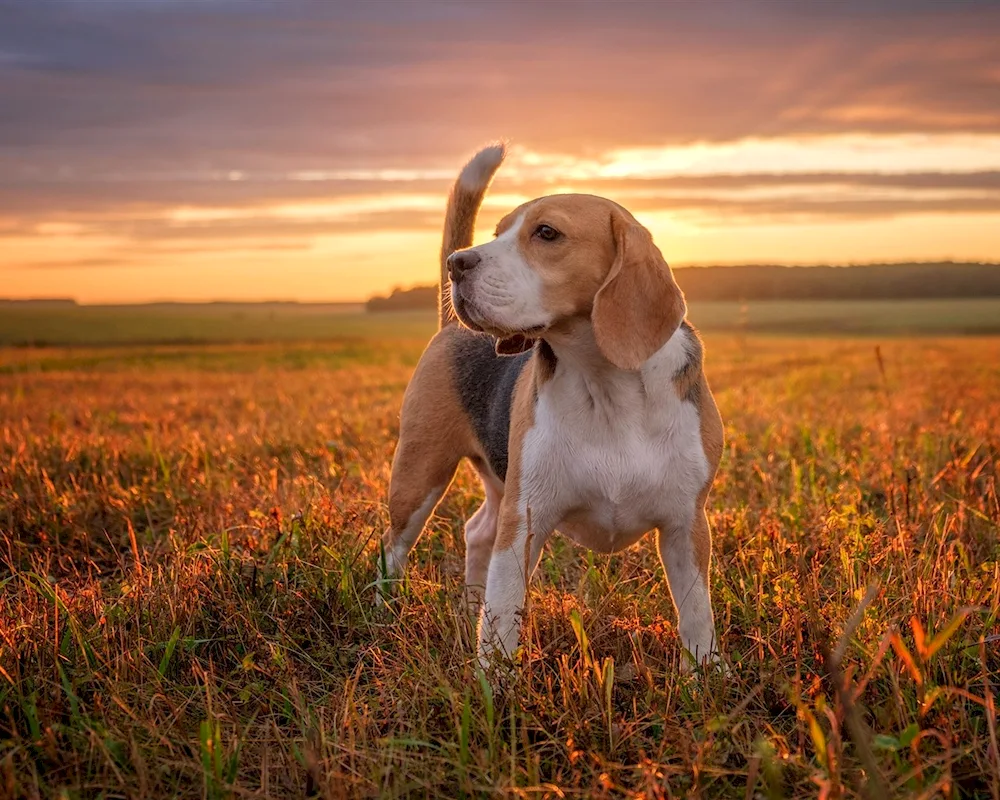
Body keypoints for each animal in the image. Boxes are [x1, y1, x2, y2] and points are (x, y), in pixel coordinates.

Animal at [378, 144, 724, 668]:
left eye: (546, 233)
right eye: (498, 233)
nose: (458, 263)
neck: (605, 385)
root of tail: (450, 326)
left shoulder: (688, 524)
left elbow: (697, 613)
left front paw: (705, 675)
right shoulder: (524, 521)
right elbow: (503, 617)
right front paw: (492, 683)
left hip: (497, 480)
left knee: (477, 531)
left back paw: (469, 606)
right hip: (419, 474)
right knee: (394, 550)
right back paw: (380, 612)